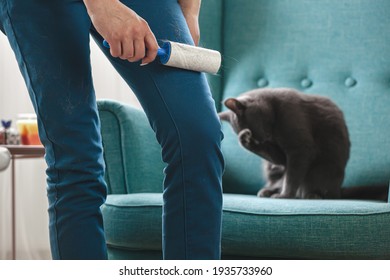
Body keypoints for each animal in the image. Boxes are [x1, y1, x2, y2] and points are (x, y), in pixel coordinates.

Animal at [219, 87, 386, 199]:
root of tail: (339, 190)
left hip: (318, 173)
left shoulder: (300, 148)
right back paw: (267, 191)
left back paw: (312, 195)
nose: (259, 139)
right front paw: (245, 140)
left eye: (251, 127)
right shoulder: (280, 153)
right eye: (251, 132)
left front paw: (285, 195)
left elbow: (292, 175)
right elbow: (280, 160)